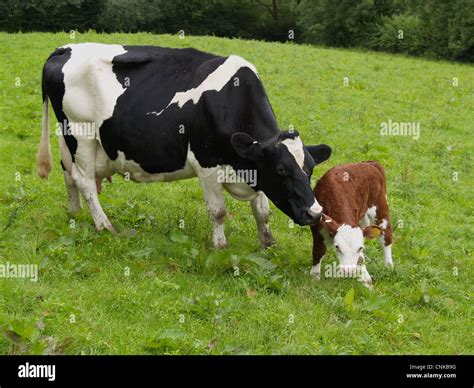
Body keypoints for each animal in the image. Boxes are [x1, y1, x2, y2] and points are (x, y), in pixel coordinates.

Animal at [37, 42, 332, 249]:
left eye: (310, 170)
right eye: (282, 170)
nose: (315, 213)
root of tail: (64, 49)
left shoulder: (253, 164)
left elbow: (262, 211)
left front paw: (268, 244)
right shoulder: (207, 163)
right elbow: (218, 210)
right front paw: (220, 246)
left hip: (69, 138)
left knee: (69, 174)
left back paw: (75, 213)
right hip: (81, 133)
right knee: (85, 181)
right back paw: (105, 226)